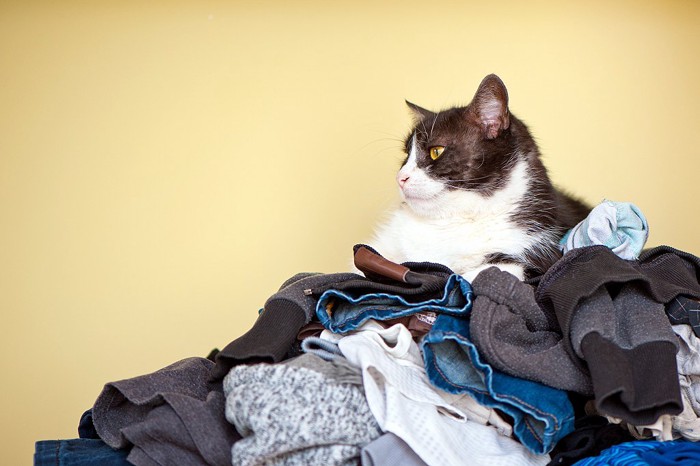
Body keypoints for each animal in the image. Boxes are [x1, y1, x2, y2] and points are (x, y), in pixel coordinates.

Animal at [366, 73, 592, 280]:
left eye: (436, 151)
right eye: (406, 155)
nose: (400, 178)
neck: (449, 222)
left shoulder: (536, 251)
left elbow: (483, 273)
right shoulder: (383, 245)